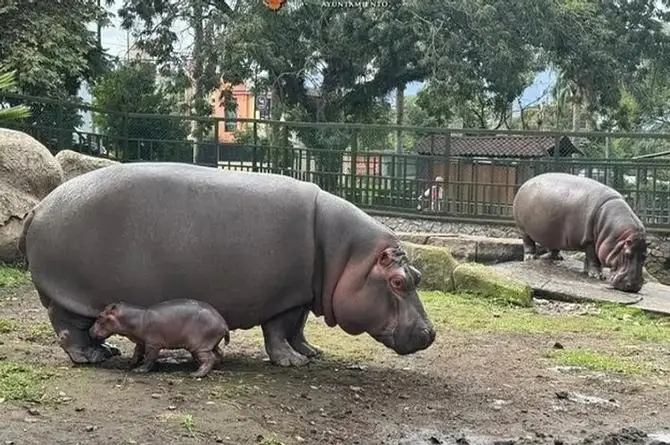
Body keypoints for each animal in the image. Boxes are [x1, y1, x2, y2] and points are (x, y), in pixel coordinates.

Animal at [18, 161, 438, 366]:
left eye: (418, 274)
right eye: (398, 281)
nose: (430, 333)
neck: (349, 255)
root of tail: (38, 208)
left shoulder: (303, 294)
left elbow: (299, 329)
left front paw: (311, 353)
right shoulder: (284, 297)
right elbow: (279, 332)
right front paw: (292, 364)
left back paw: (105, 351)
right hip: (70, 293)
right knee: (68, 328)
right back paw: (93, 357)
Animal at [90, 296, 231, 376]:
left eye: (100, 316)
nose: (89, 331)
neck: (136, 317)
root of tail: (223, 323)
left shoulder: (152, 344)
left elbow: (150, 357)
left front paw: (139, 370)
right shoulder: (141, 341)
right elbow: (137, 353)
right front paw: (130, 364)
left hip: (199, 346)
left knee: (209, 359)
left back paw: (195, 374)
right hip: (210, 343)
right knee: (219, 353)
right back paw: (211, 366)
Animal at [516, 172, 652, 294]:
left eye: (645, 256)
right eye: (627, 254)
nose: (633, 286)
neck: (618, 237)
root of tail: (525, 183)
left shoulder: (594, 242)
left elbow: (589, 258)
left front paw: (588, 272)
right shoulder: (590, 240)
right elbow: (593, 258)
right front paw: (598, 276)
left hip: (554, 234)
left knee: (554, 246)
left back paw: (556, 258)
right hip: (523, 228)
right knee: (528, 242)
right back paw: (531, 257)